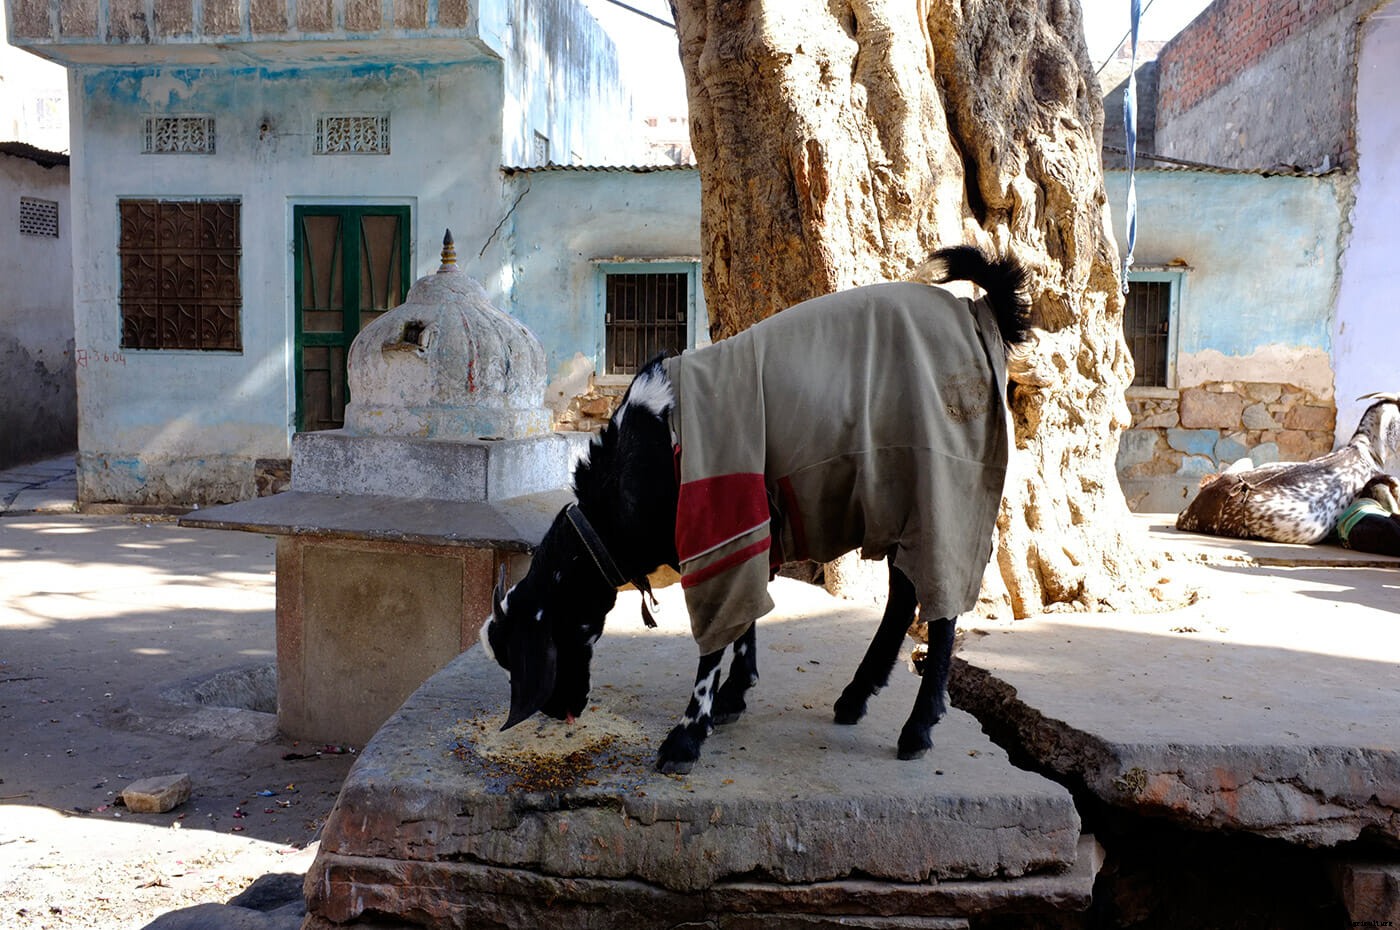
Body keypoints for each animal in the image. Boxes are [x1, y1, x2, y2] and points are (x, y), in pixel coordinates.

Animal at [481, 246, 1031, 775]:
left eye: (520, 655)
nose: (558, 711)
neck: (643, 456)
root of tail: (978, 312)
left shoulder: (717, 524)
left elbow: (714, 638)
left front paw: (687, 735)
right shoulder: (742, 531)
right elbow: (744, 620)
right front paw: (734, 695)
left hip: (943, 489)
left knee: (940, 606)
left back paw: (917, 726)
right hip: (899, 501)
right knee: (903, 595)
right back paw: (856, 695)